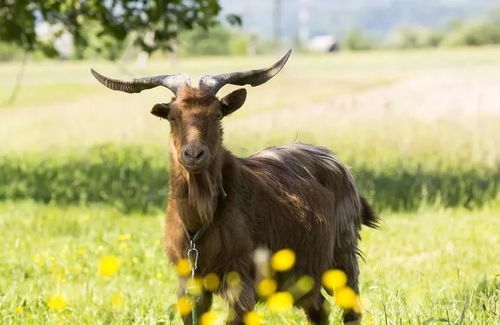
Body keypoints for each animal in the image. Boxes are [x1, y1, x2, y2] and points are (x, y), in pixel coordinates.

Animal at [91, 49, 378, 322]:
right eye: (173, 116)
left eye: (217, 114)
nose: (193, 154)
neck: (198, 224)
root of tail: (340, 165)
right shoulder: (189, 283)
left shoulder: (241, 280)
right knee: (319, 308)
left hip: (343, 254)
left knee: (350, 308)